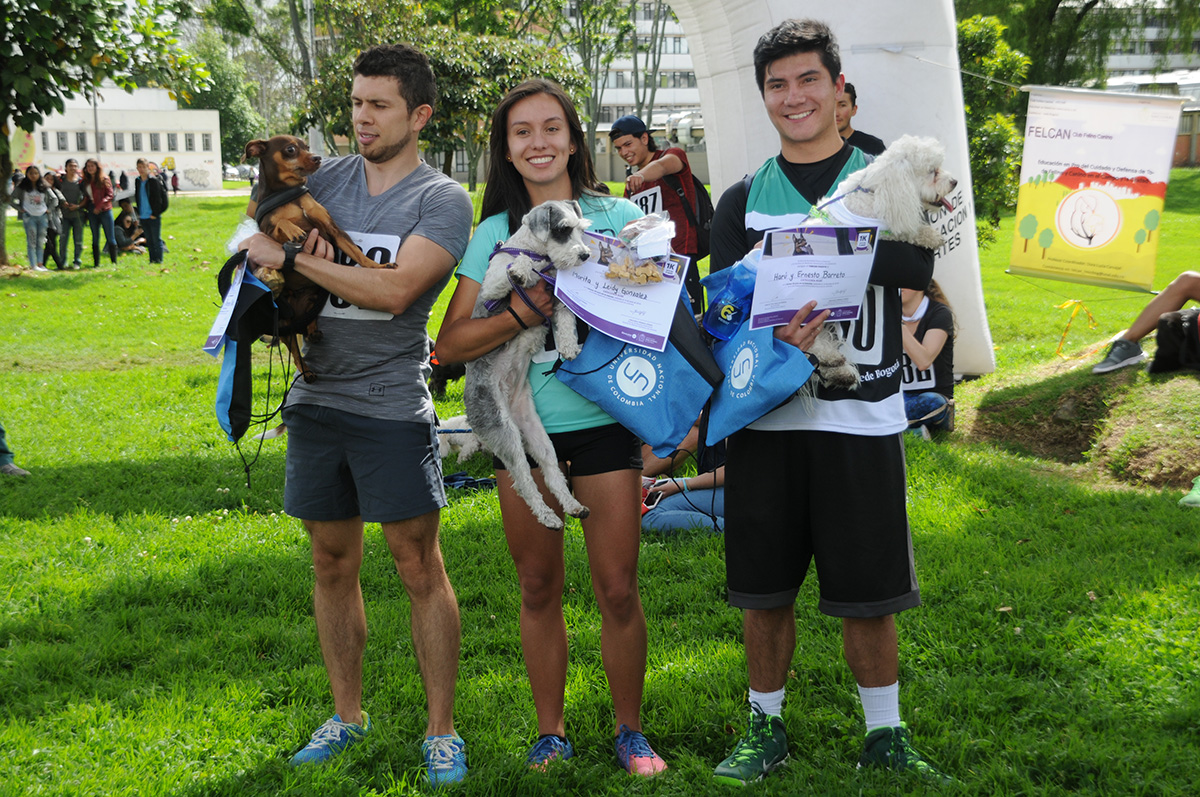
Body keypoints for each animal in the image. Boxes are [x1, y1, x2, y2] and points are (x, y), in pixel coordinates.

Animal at [242, 133, 393, 384]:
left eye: (306, 145)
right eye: (291, 149)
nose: (317, 158)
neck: (288, 195)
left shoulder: (332, 230)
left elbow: (356, 253)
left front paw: (377, 266)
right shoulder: (268, 232)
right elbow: (281, 223)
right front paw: (293, 229)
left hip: (314, 298)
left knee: (309, 324)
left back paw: (313, 331)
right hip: (284, 324)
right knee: (295, 354)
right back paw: (308, 371)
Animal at [460, 199, 592, 528]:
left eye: (581, 229)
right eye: (563, 230)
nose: (584, 255)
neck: (540, 256)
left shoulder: (557, 299)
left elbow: (566, 323)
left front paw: (569, 347)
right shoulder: (492, 290)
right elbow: (511, 273)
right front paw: (520, 271)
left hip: (537, 434)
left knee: (552, 474)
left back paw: (572, 507)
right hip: (503, 431)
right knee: (523, 480)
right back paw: (547, 516)